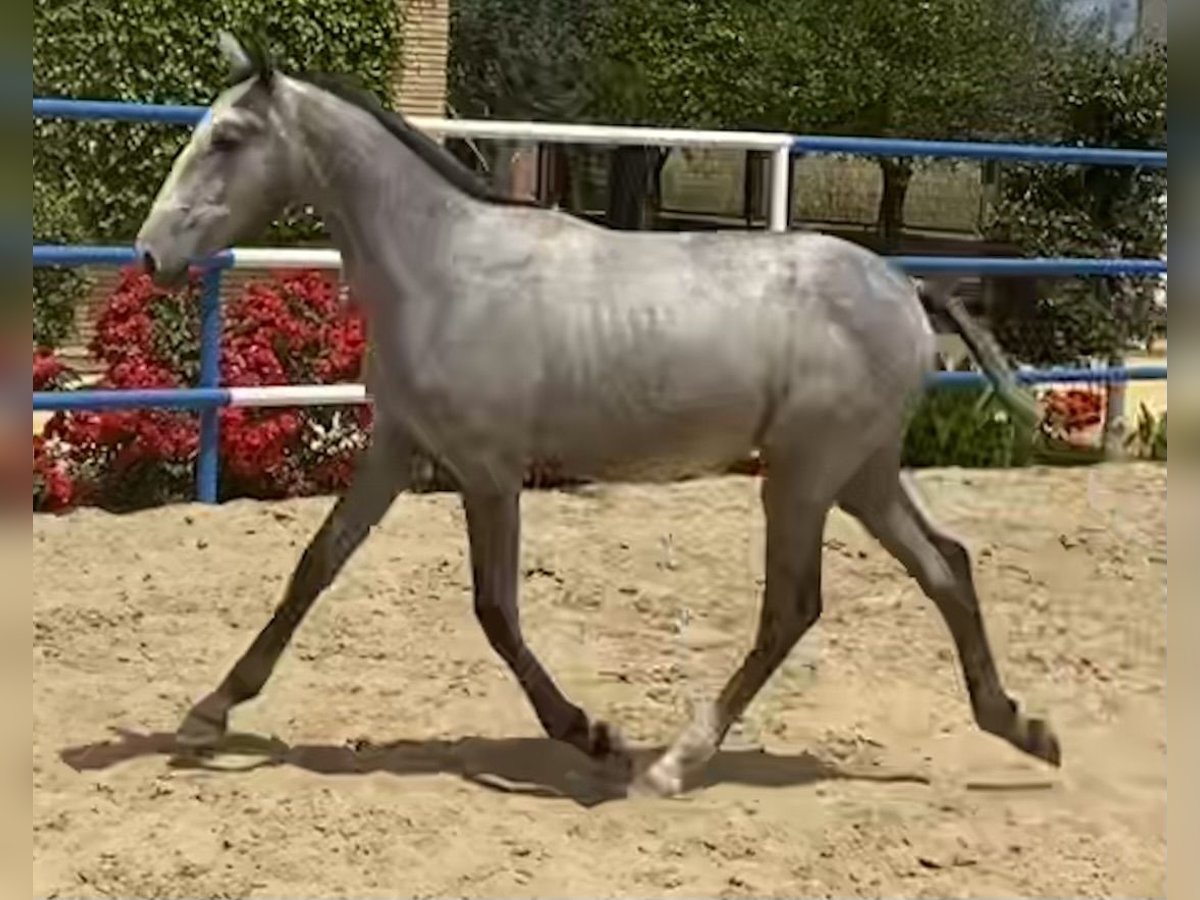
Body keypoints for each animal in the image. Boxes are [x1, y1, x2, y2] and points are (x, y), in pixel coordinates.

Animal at [133, 33, 1060, 796]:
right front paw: (208, 712)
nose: (151, 252)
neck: (443, 269)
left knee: (793, 607)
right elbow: (315, 566)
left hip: (804, 475)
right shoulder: (398, 447)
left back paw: (673, 763)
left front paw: (591, 734)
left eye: (228, 138)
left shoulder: (487, 471)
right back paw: (1024, 728)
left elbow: (494, 609)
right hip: (860, 472)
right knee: (946, 566)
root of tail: (908, 287)